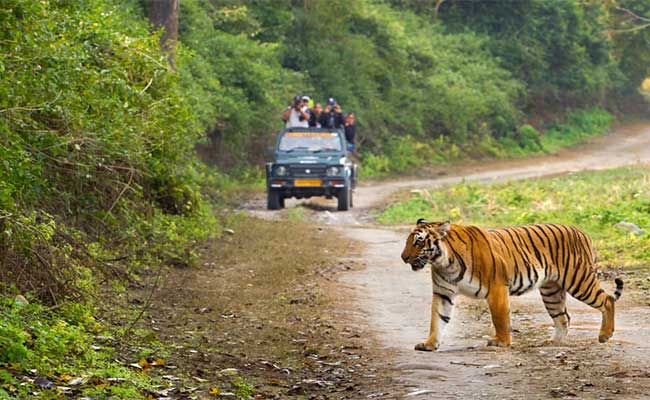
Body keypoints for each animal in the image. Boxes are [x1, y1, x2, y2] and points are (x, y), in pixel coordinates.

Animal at [400, 220, 624, 352]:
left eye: (418, 242)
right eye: (408, 241)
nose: (403, 258)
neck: (443, 262)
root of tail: (582, 232)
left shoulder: (496, 287)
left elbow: (499, 317)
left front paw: (501, 341)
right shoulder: (443, 293)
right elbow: (437, 319)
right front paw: (429, 344)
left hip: (579, 281)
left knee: (607, 300)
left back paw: (604, 335)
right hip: (551, 291)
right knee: (564, 317)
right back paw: (553, 342)